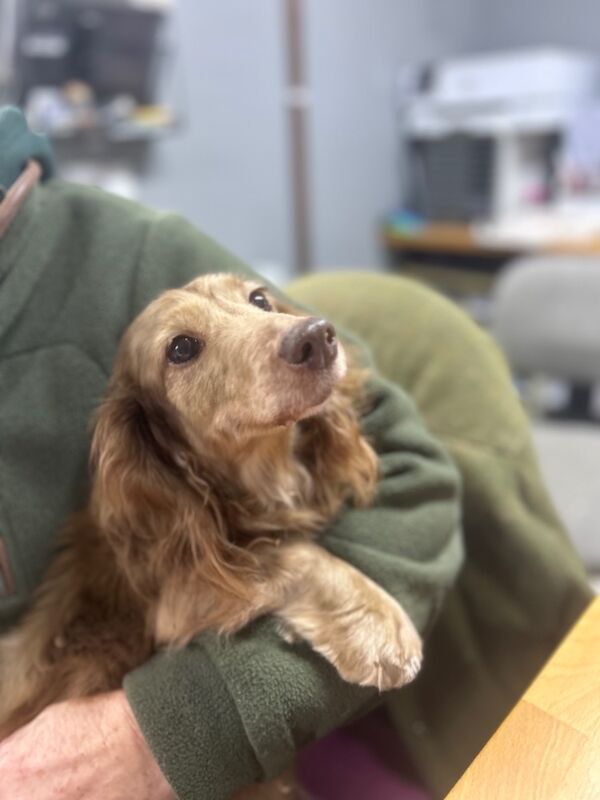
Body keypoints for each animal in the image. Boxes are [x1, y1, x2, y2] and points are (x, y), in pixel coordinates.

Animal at [0, 274, 422, 792]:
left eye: (259, 299)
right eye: (181, 348)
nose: (317, 337)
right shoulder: (183, 594)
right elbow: (292, 552)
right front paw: (378, 622)